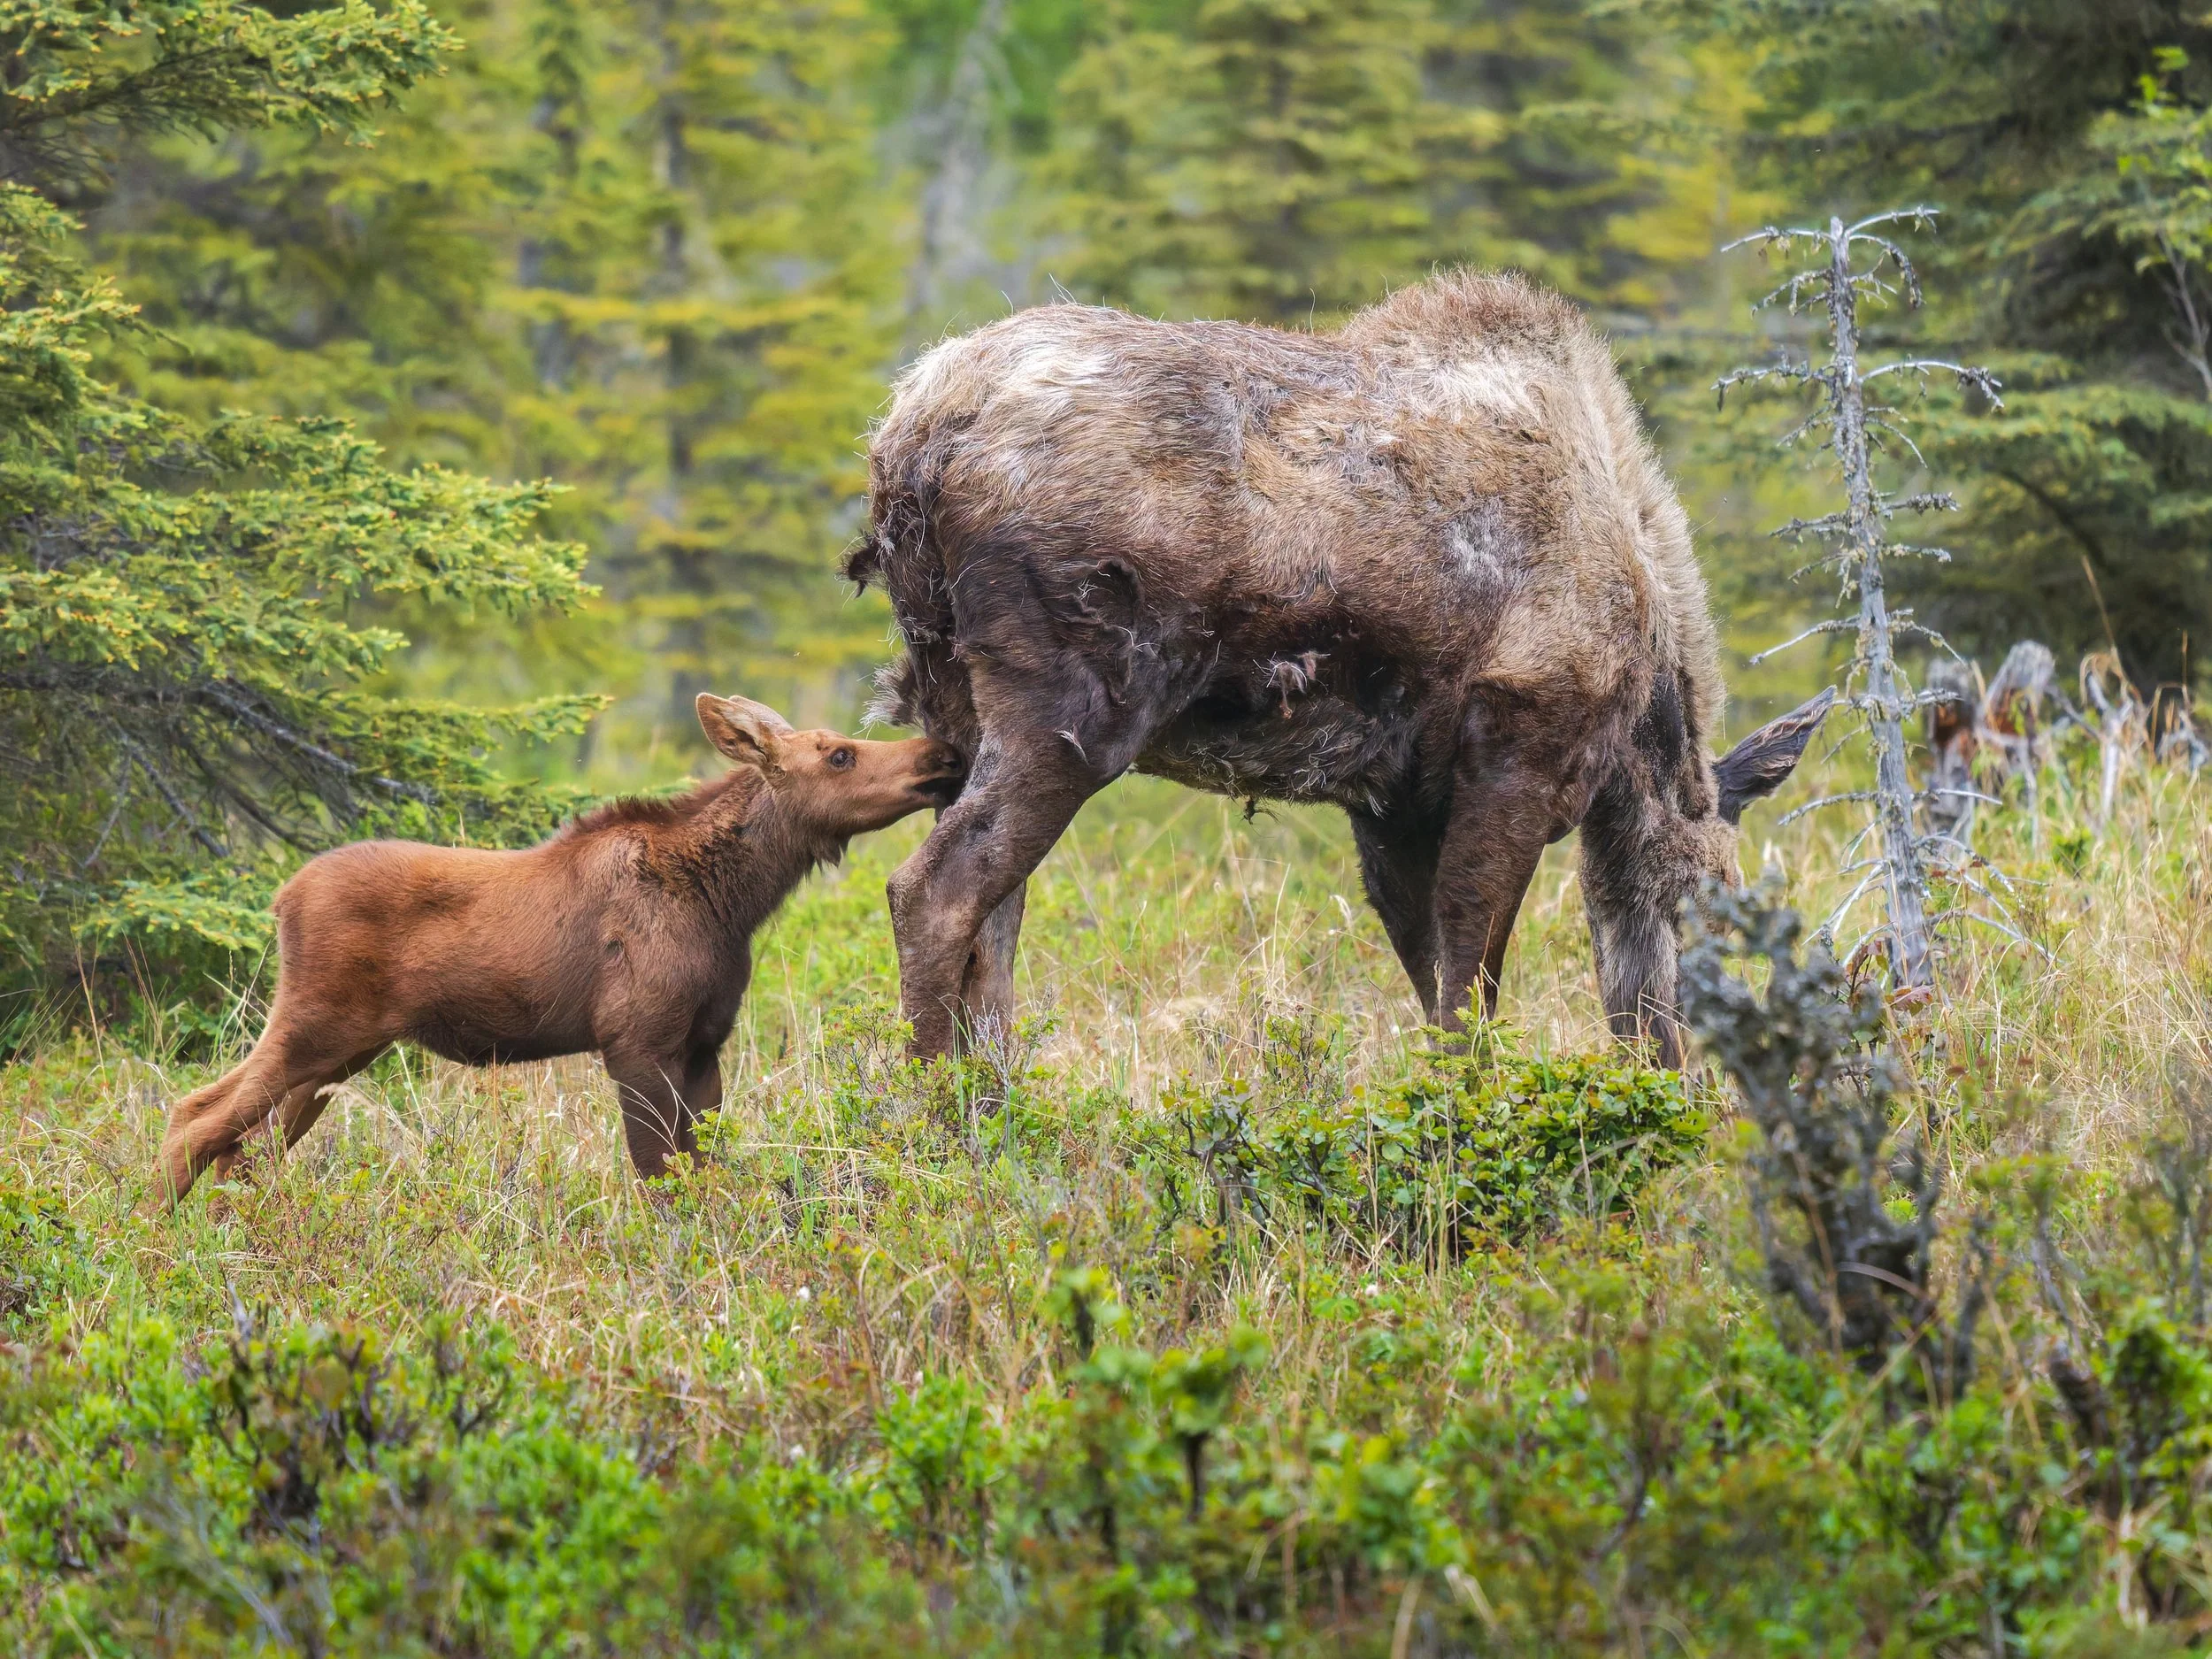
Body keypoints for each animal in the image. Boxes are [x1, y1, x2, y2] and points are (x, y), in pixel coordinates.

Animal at [154, 694, 965, 1203]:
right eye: (838, 755)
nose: (944, 751)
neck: (732, 901)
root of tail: (280, 898)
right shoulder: (636, 1037)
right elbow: (660, 1177)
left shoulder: (705, 1042)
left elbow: (705, 1172)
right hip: (314, 1024)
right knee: (194, 1114)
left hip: (344, 1050)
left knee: (245, 1152)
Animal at [848, 271, 1832, 1064]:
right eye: (1712, 903)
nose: (1683, 1071)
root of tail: (912, 441)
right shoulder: (1519, 756)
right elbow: (1469, 988)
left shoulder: (1393, 805)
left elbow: (1432, 979)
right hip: (1074, 711)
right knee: (935, 891)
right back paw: (940, 1106)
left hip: (949, 705)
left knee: (993, 921)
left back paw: (997, 1102)